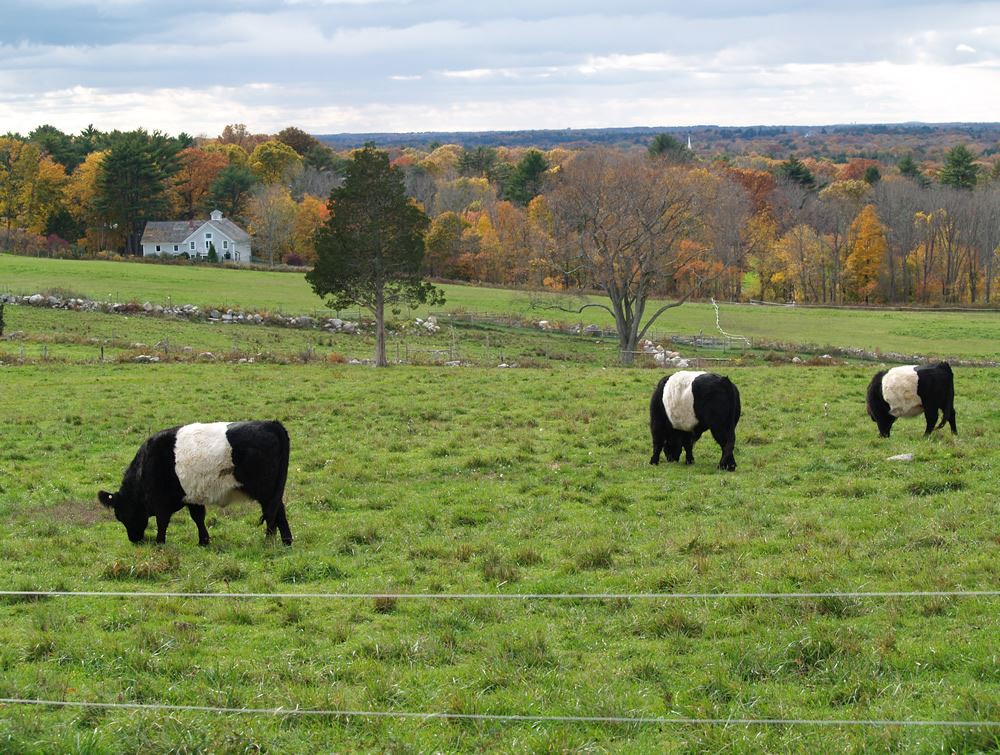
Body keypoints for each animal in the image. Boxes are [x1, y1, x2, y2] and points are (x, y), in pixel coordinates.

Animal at [98, 420, 292, 546]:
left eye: (121, 515)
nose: (134, 539)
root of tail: (271, 424)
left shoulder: (161, 502)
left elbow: (162, 521)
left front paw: (160, 542)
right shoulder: (192, 497)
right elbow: (198, 517)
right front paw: (204, 541)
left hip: (265, 491)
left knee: (272, 512)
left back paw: (269, 541)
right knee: (278, 511)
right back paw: (286, 541)